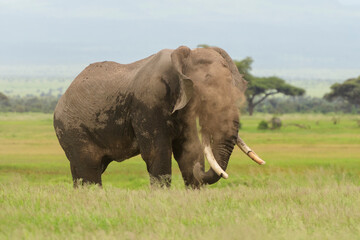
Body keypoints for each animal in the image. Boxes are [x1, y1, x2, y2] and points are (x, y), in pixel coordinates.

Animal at [54, 46, 268, 188]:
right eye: (205, 93)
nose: (200, 168)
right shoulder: (148, 103)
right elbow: (157, 153)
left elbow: (189, 148)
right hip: (72, 129)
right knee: (88, 169)